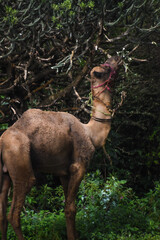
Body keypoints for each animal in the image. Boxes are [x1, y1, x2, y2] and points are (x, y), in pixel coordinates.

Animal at [0, 55, 120, 239]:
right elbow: (71, 209)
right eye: (105, 67)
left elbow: (68, 207)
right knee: (13, 214)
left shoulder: (64, 173)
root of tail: (1, 141)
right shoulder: (79, 166)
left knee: (2, 214)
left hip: (4, 173)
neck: (91, 134)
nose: (116, 57)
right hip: (18, 158)